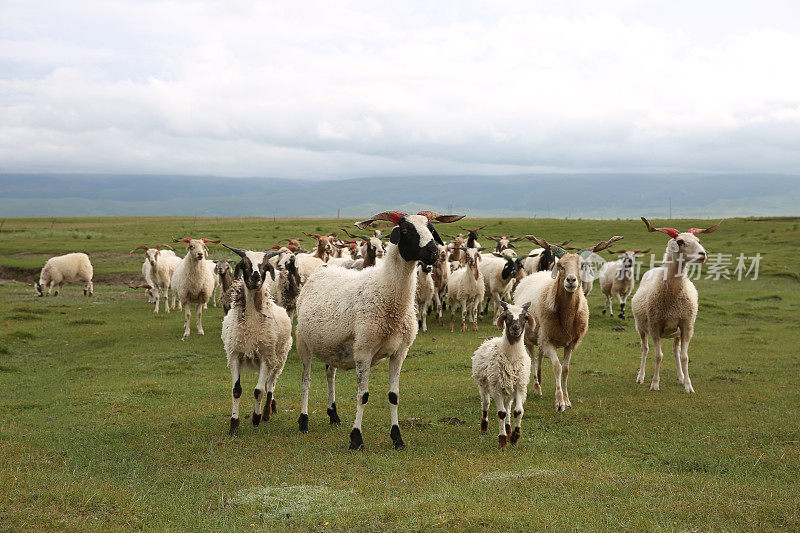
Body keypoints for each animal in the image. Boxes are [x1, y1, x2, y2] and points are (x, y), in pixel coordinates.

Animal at [220, 245, 292, 436]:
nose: (255, 277)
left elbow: (259, 391)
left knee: (270, 385)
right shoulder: (235, 355)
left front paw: (256, 418)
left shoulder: (266, 358)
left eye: (266, 266)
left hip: (278, 359)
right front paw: (234, 424)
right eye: (244, 264)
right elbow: (236, 390)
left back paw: (267, 412)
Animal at [296, 209, 466, 448]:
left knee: (330, 375)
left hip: (332, 346)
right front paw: (356, 438)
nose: (433, 252)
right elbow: (363, 395)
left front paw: (397, 438)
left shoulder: (400, 352)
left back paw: (333, 415)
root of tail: (322, 269)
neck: (386, 293)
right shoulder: (363, 351)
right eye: (406, 230)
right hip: (303, 342)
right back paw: (303, 422)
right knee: (306, 382)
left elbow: (394, 396)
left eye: (431, 229)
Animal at [516, 235, 620, 410]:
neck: (566, 317)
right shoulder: (549, 341)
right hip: (529, 337)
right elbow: (557, 367)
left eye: (582, 265)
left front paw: (567, 400)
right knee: (533, 358)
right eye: (560, 266)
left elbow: (565, 369)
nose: (571, 280)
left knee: (539, 355)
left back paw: (540, 381)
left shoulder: (571, 342)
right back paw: (537, 387)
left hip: (541, 335)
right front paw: (559, 402)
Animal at [636, 217, 720, 394]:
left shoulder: (686, 326)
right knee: (645, 349)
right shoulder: (654, 326)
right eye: (680, 241)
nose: (703, 254)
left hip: (676, 332)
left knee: (676, 351)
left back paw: (681, 377)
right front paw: (654, 384)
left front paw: (688, 386)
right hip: (640, 328)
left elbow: (684, 357)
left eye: (698, 240)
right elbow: (658, 356)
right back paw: (640, 377)